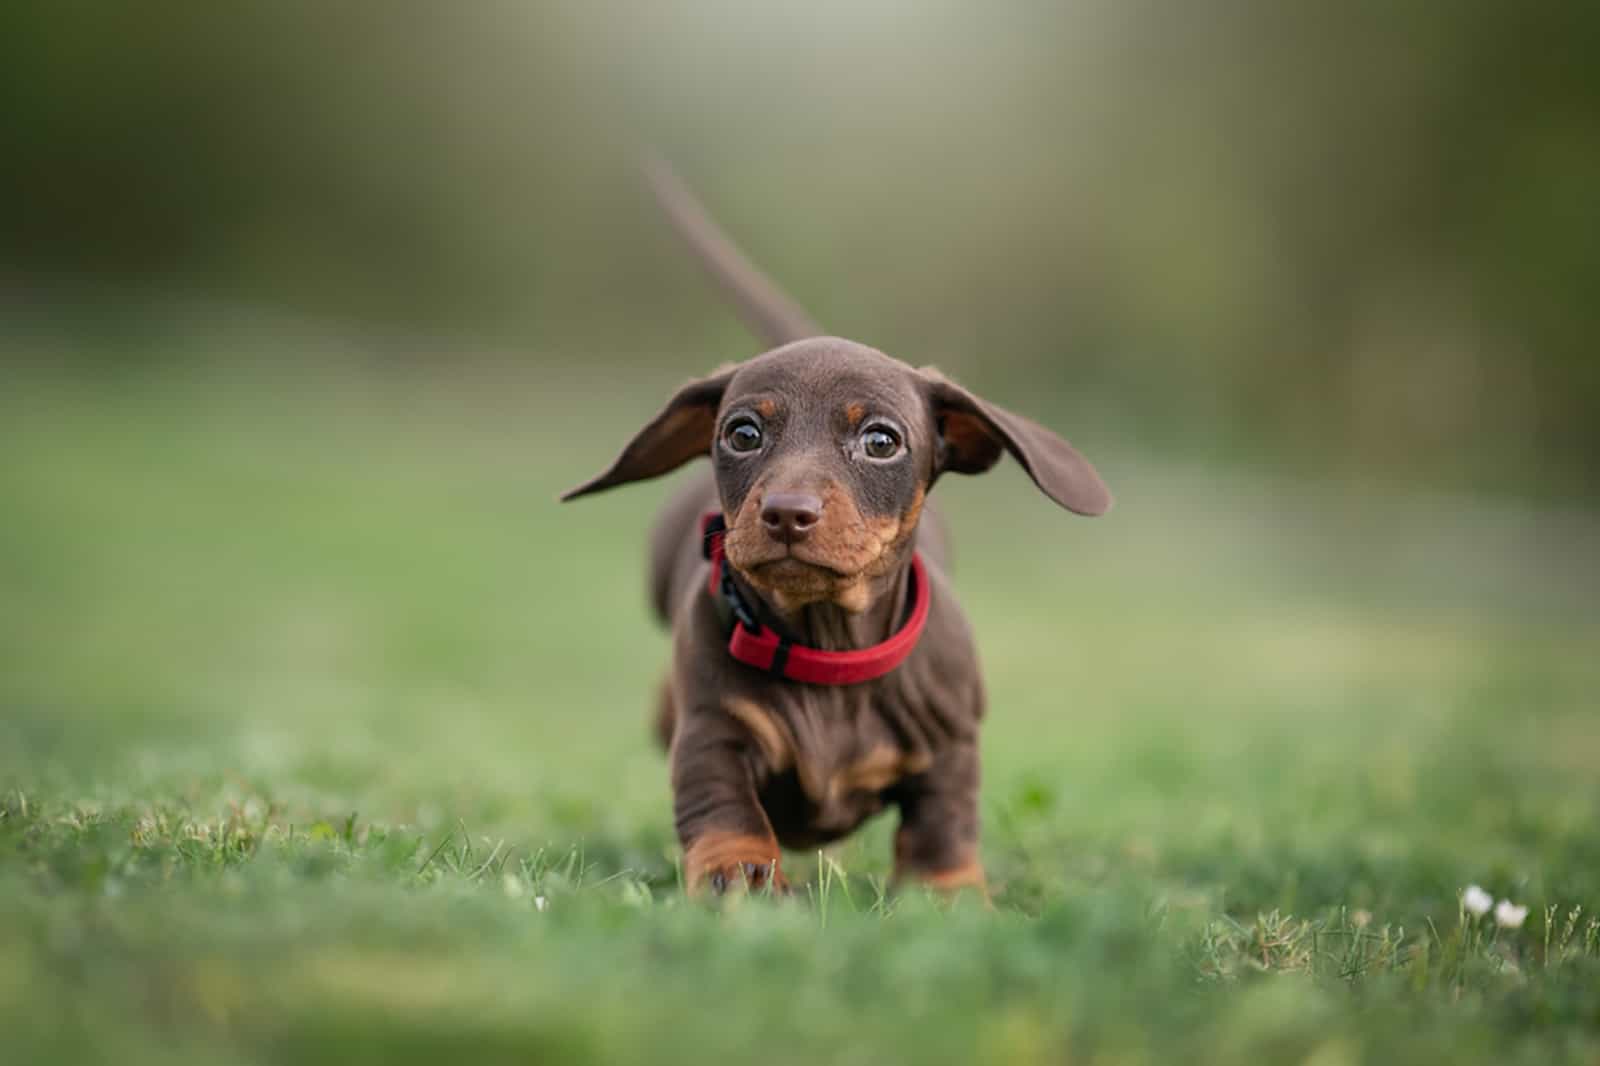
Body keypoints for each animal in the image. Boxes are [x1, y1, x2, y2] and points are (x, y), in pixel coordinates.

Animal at [566, 161, 1113, 889]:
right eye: (742, 433)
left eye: (881, 441)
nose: (786, 513)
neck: (829, 655)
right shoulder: (712, 734)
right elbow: (722, 806)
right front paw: (738, 872)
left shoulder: (951, 747)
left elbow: (943, 824)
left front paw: (947, 891)